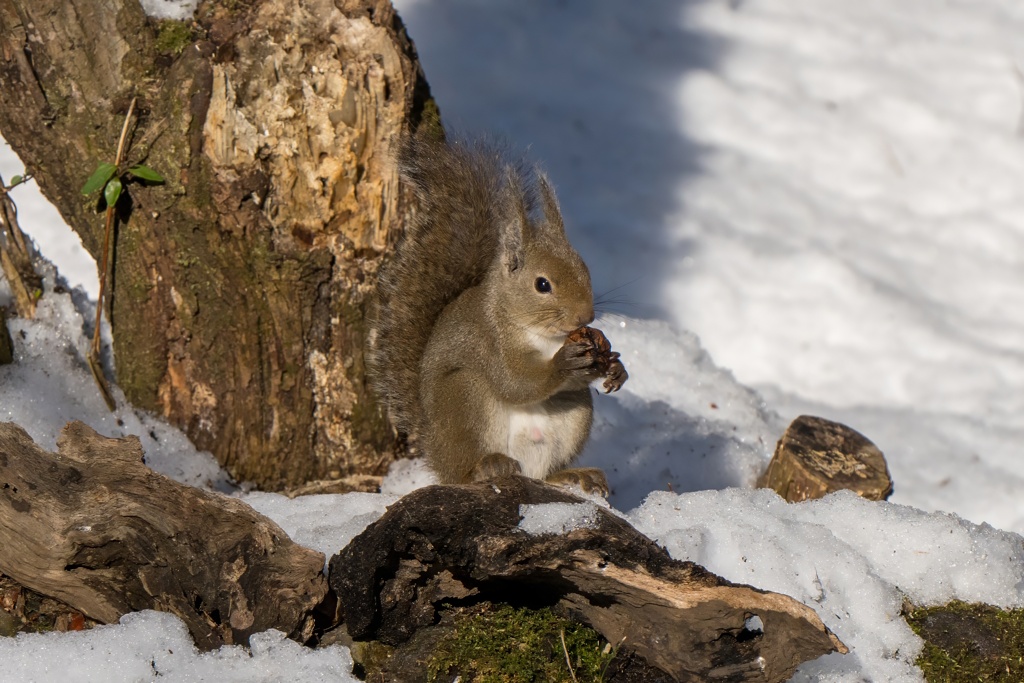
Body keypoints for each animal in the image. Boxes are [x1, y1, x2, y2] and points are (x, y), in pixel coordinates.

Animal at [368, 135, 622, 497]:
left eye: (585, 270)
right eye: (542, 284)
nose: (585, 317)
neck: (544, 335)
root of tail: (436, 451)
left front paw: (614, 365)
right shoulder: (489, 342)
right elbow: (515, 382)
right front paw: (563, 363)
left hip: (574, 412)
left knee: (545, 472)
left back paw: (573, 475)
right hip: (464, 395)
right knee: (464, 471)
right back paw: (486, 466)